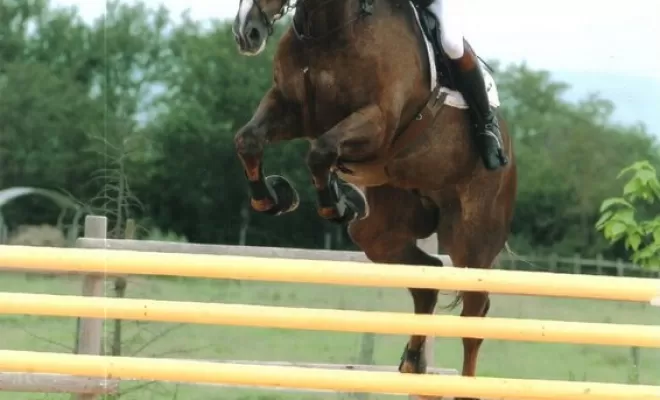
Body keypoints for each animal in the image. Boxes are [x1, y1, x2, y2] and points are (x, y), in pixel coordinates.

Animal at [231, 0, 516, 396]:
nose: (248, 32)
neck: (327, 31)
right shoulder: (290, 107)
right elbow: (249, 140)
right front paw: (275, 197)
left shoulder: (376, 121)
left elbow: (321, 152)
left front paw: (336, 203)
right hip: (382, 232)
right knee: (428, 277)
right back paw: (413, 361)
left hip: (473, 239)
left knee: (475, 316)